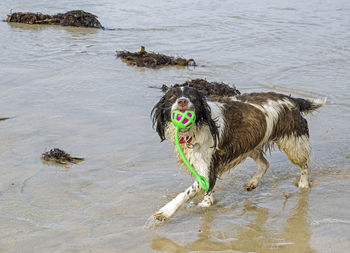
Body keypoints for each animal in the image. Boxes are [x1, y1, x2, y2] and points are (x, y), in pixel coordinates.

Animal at [150, 87, 326, 221]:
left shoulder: (208, 167)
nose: (182, 101)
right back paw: (252, 182)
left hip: (293, 144)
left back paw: (303, 184)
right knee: (265, 164)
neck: (196, 128)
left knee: (304, 164)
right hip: (253, 144)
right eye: (172, 96)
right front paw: (207, 202)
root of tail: (292, 100)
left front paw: (166, 211)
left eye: (192, 96)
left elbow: (187, 193)